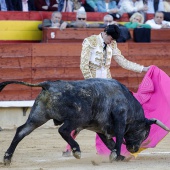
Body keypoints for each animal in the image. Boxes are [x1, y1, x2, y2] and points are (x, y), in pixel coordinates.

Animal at [0, 78, 169, 165]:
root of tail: (49, 84)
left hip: (38, 116)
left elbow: (110, 142)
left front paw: (118, 156)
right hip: (76, 118)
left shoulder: (101, 128)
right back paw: (76, 150)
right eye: (145, 133)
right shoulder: (120, 117)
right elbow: (119, 137)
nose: (134, 149)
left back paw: (7, 157)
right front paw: (117, 155)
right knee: (63, 130)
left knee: (21, 131)